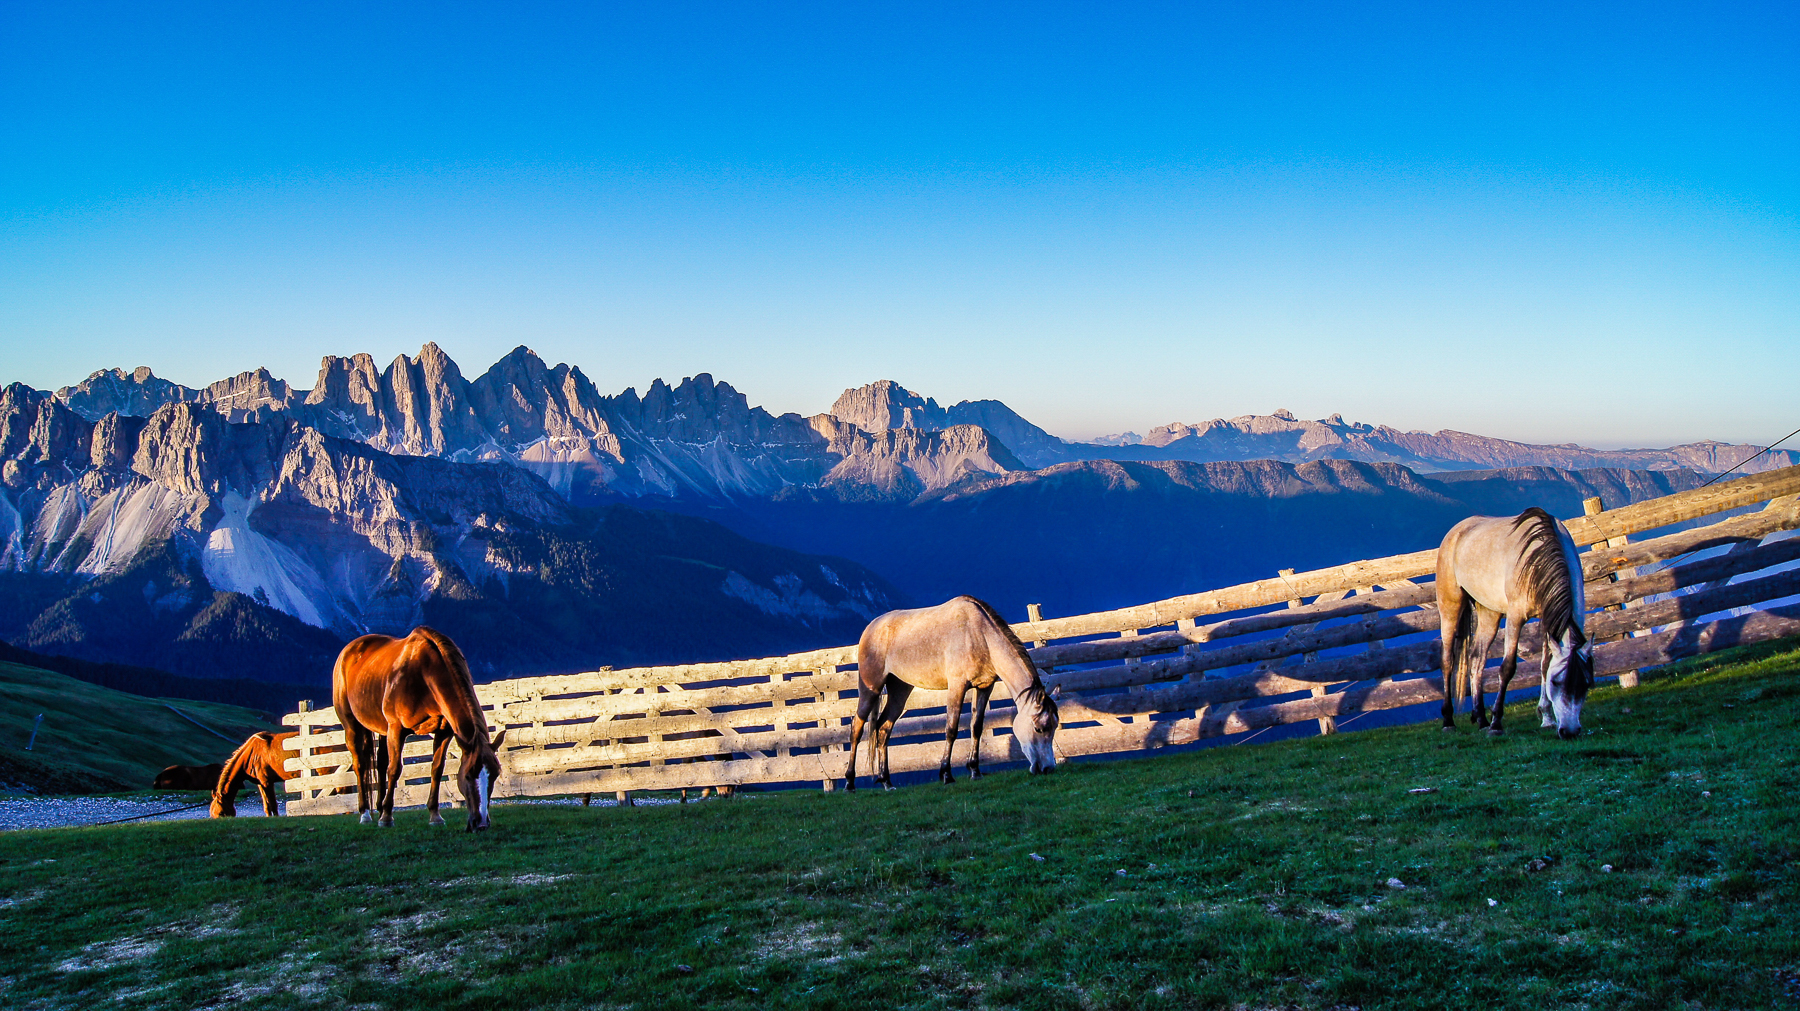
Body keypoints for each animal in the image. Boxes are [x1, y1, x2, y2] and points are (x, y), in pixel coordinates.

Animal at [332, 627, 506, 830]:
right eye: (469, 775)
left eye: (495, 774)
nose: (481, 823)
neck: (426, 674)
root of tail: (349, 650)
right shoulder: (397, 729)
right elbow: (394, 769)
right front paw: (387, 818)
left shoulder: (444, 732)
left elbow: (437, 769)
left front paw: (435, 815)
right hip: (351, 724)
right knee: (360, 764)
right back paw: (366, 813)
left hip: (383, 729)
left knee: (380, 762)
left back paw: (379, 807)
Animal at [845, 595, 1059, 790]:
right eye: (1039, 728)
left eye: (1054, 727)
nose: (1047, 768)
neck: (979, 635)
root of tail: (870, 628)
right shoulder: (957, 686)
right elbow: (951, 729)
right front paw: (946, 774)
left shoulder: (984, 687)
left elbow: (976, 727)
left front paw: (975, 771)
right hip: (871, 688)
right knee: (857, 727)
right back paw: (850, 782)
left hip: (900, 690)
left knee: (883, 728)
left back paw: (887, 781)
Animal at [1436, 507, 1593, 739]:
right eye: (1557, 682)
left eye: (1586, 684)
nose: (1570, 731)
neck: (1539, 557)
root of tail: (1456, 531)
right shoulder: (1515, 616)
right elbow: (1508, 668)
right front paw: (1496, 724)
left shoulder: (1547, 618)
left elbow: (1545, 665)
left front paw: (1546, 717)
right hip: (1450, 606)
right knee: (1448, 660)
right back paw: (1449, 721)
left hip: (1489, 612)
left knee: (1477, 659)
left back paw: (1481, 718)